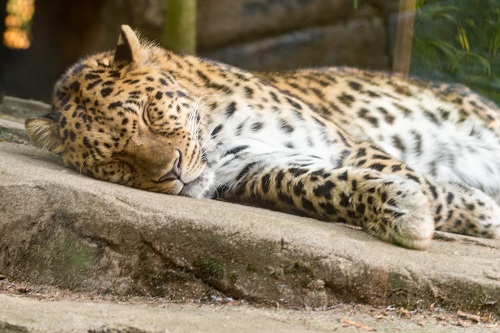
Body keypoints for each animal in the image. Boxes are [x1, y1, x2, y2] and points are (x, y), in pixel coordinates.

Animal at [24, 25, 500, 249]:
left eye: (146, 113)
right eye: (113, 161)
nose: (172, 172)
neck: (215, 132)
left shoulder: (342, 142)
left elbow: (416, 179)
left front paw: (476, 212)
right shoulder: (256, 169)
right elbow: (317, 186)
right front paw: (405, 210)